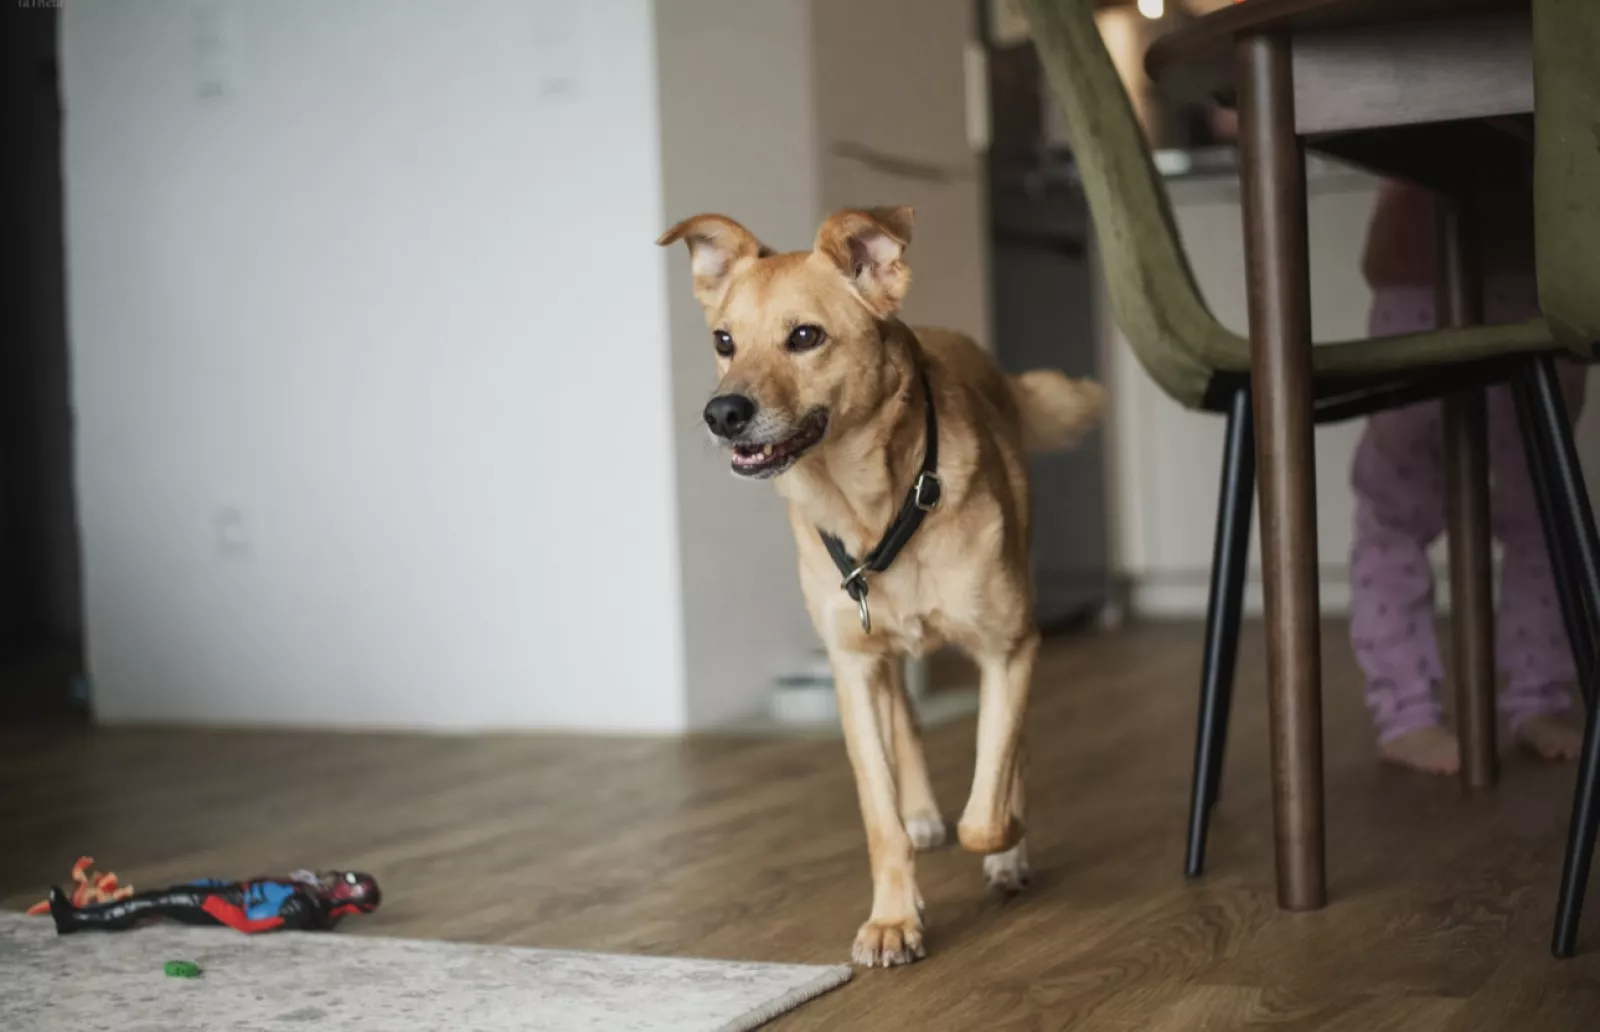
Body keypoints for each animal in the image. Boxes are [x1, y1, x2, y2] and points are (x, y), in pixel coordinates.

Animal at [658, 206, 1104, 967]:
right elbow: (880, 815)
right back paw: (923, 812)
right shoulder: (854, 668)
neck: (873, 507)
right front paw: (895, 917)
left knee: (1003, 753)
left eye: (805, 337)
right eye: (723, 341)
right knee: (909, 723)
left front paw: (1007, 841)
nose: (722, 413)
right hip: (884, 654)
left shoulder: (1009, 648)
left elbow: (990, 796)